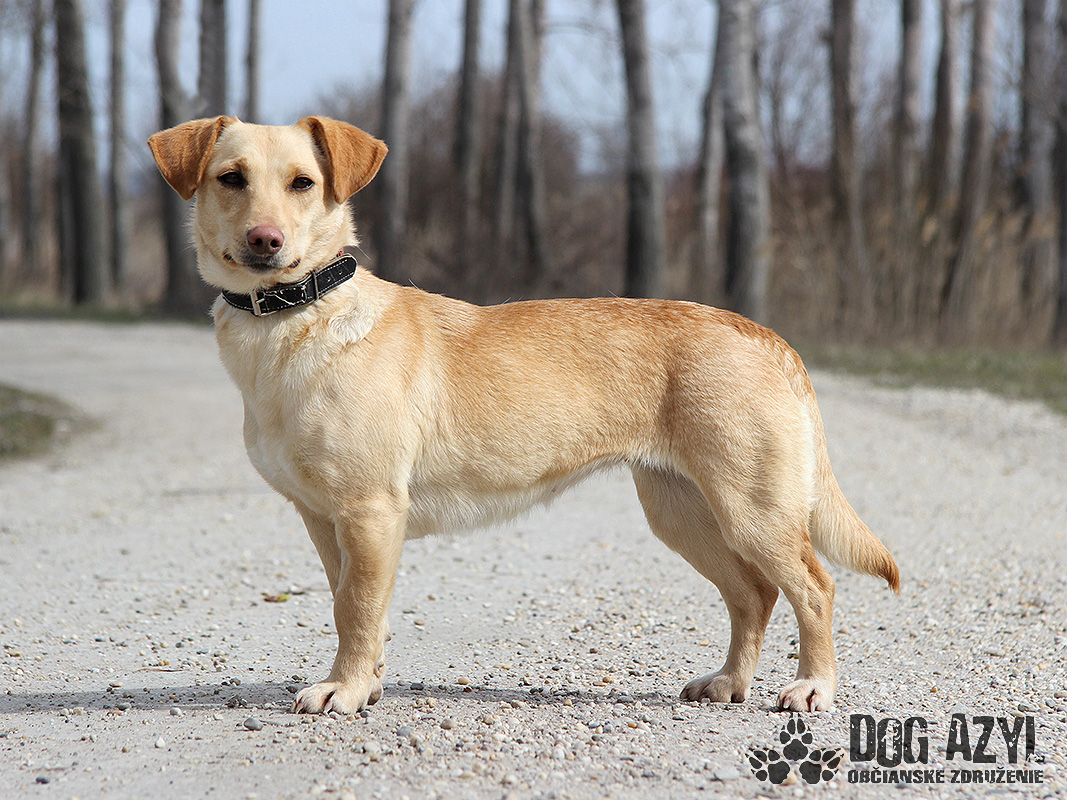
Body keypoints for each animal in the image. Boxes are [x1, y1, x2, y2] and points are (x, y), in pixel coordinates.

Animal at [148, 116, 899, 715]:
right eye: (231, 178)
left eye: (303, 183)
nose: (265, 241)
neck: (294, 323)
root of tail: (765, 336)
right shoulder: (324, 520)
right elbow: (351, 608)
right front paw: (368, 683)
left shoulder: (369, 511)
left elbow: (357, 610)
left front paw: (346, 690)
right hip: (684, 513)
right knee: (753, 596)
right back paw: (728, 682)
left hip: (753, 510)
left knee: (814, 588)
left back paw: (813, 688)